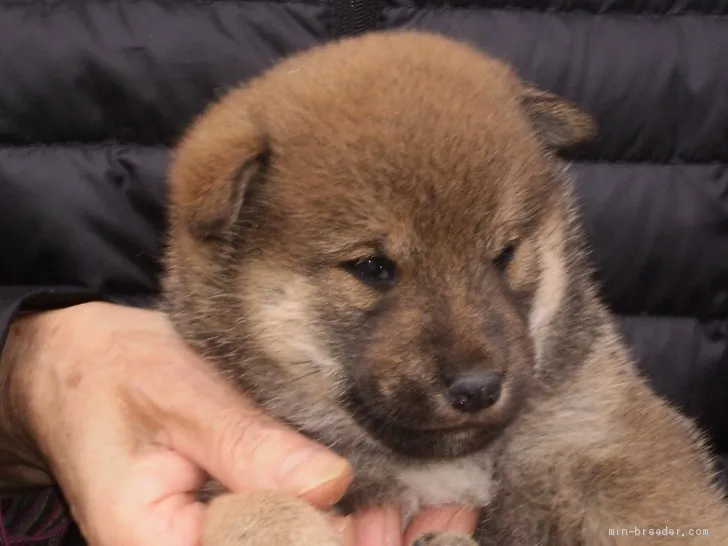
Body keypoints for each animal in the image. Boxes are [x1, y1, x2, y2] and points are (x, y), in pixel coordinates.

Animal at [161, 30, 728, 544]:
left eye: (505, 253)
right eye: (373, 267)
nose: (478, 389)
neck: (444, 466)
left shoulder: (607, 441)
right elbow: (255, 510)